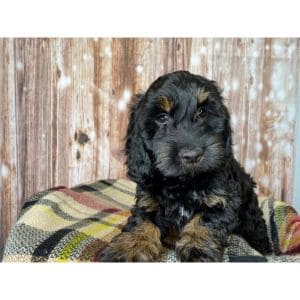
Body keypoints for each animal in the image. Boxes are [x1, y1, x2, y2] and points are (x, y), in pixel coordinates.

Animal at [101, 71, 272, 262]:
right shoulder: (148, 201)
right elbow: (142, 221)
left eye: (202, 112)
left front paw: (197, 248)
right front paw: (129, 247)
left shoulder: (223, 198)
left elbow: (206, 220)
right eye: (162, 117)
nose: (192, 155)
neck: (183, 183)